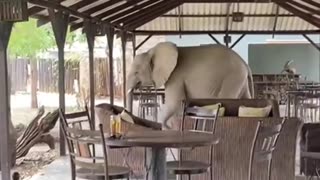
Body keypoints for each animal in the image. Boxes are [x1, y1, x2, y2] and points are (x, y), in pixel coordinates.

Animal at [126, 41, 254, 129]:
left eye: (136, 72)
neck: (152, 50)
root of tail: (245, 63)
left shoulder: (176, 76)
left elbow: (174, 103)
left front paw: (167, 127)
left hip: (232, 77)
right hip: (240, 80)